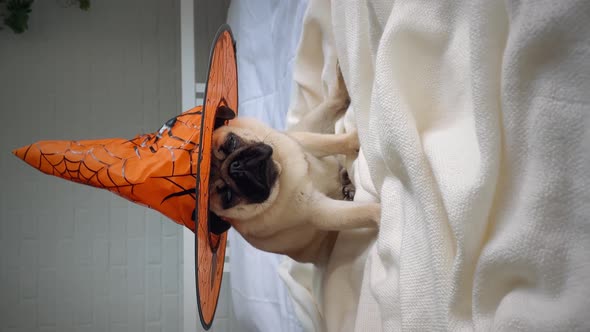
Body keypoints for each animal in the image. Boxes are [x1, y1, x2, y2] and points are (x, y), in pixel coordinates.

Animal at [210, 70, 382, 264]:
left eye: (231, 142)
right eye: (228, 196)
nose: (236, 168)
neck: (282, 174)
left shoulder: (303, 142)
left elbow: (331, 142)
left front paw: (353, 140)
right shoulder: (319, 211)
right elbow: (361, 212)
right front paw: (385, 215)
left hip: (301, 129)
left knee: (330, 108)